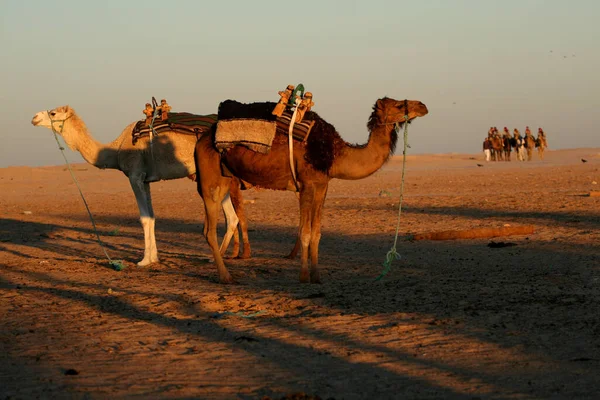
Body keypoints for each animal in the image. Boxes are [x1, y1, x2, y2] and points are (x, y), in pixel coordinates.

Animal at [31, 105, 252, 266]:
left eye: (53, 112)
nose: (34, 117)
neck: (115, 150)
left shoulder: (135, 175)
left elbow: (144, 218)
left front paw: (144, 260)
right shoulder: (145, 180)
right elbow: (152, 217)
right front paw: (154, 257)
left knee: (231, 216)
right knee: (232, 217)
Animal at [196, 97, 426, 284]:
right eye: (398, 105)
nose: (422, 106)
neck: (334, 154)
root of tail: (202, 139)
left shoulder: (322, 185)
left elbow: (316, 232)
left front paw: (316, 276)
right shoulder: (306, 184)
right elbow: (305, 232)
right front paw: (304, 276)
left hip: (226, 179)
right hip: (209, 180)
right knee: (209, 231)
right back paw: (226, 277)